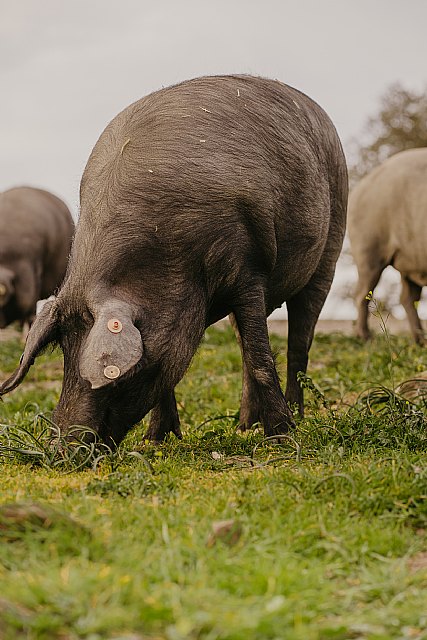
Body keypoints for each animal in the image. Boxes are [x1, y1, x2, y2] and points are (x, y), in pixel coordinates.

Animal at [0, 75, 348, 444]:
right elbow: (173, 367)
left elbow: (260, 359)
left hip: (330, 248)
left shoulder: (248, 269)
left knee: (297, 342)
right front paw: (156, 440)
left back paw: (293, 417)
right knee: (246, 344)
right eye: (66, 352)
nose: (62, 445)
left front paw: (281, 439)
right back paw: (242, 426)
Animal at [350, 148, 427, 344]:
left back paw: (420, 340)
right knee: (362, 291)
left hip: (411, 257)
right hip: (369, 245)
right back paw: (366, 338)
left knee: (408, 297)